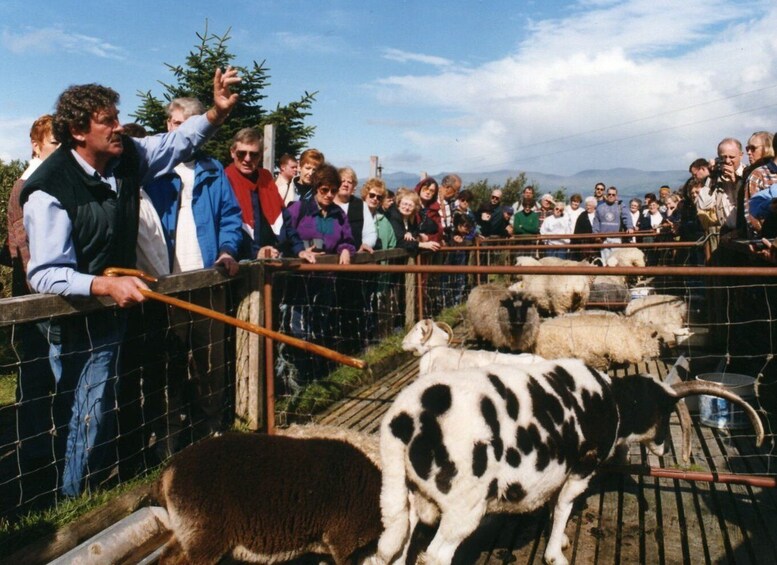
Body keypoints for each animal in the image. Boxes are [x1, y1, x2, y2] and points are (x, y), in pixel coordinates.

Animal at [372, 360, 760, 560]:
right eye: (664, 412)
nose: (665, 449)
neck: (613, 402)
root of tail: (403, 421)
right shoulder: (582, 468)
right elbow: (563, 507)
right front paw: (555, 553)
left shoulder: (554, 471)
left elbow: (552, 504)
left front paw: (557, 543)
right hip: (463, 506)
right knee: (436, 554)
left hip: (405, 497)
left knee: (395, 548)